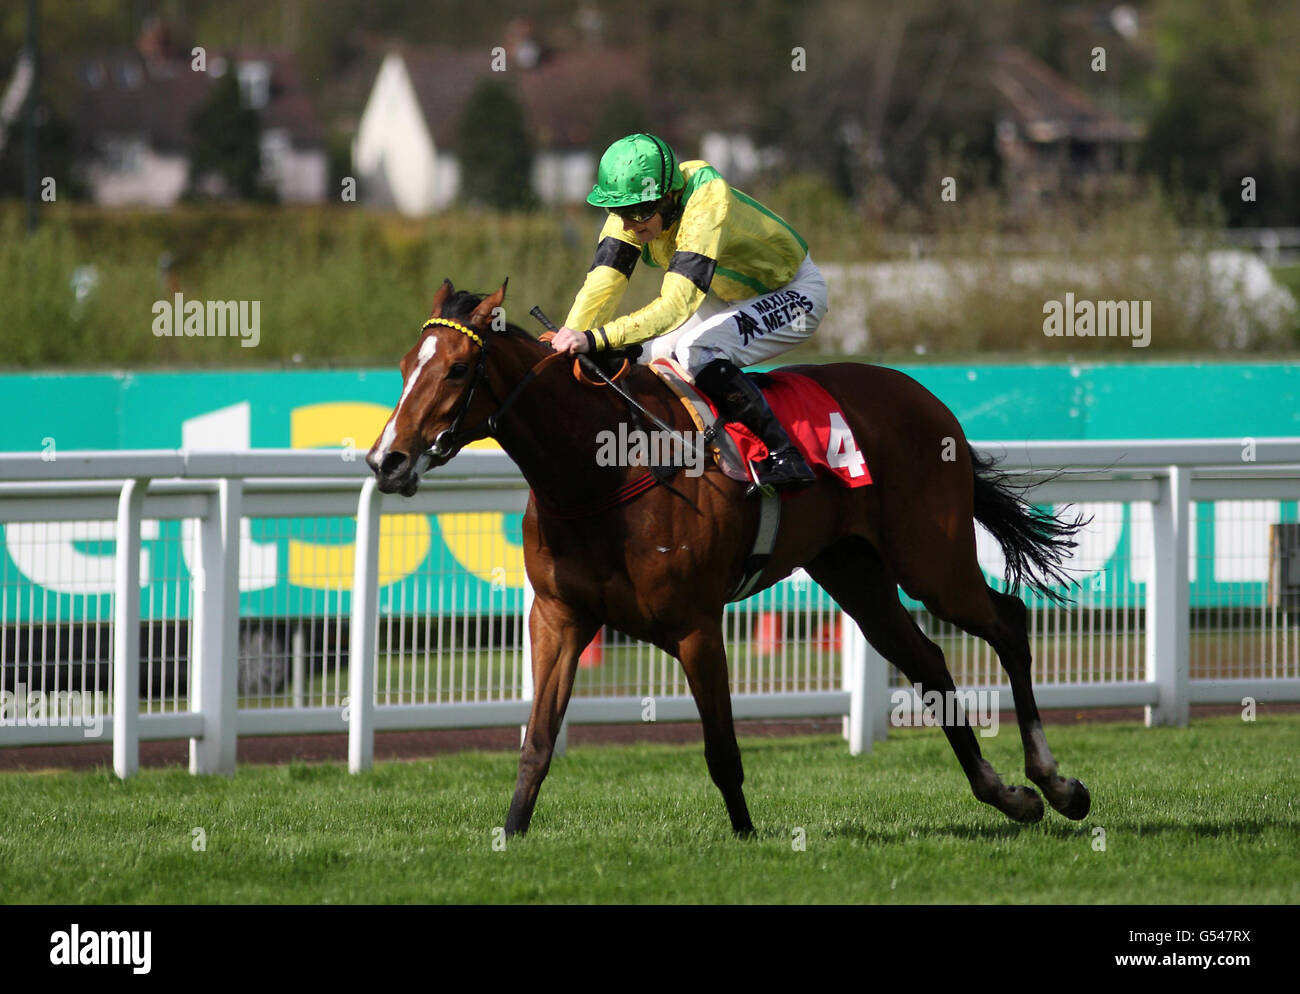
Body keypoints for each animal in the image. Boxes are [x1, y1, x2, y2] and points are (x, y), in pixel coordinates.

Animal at [364, 279, 1086, 836]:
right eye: (402, 366)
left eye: (459, 368)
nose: (385, 460)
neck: (602, 473)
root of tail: (930, 400)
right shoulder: (559, 618)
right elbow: (537, 743)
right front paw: (511, 834)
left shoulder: (695, 624)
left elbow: (721, 750)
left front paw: (745, 838)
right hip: (855, 572)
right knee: (929, 660)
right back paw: (1008, 795)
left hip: (930, 561)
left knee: (1008, 621)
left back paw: (1056, 783)